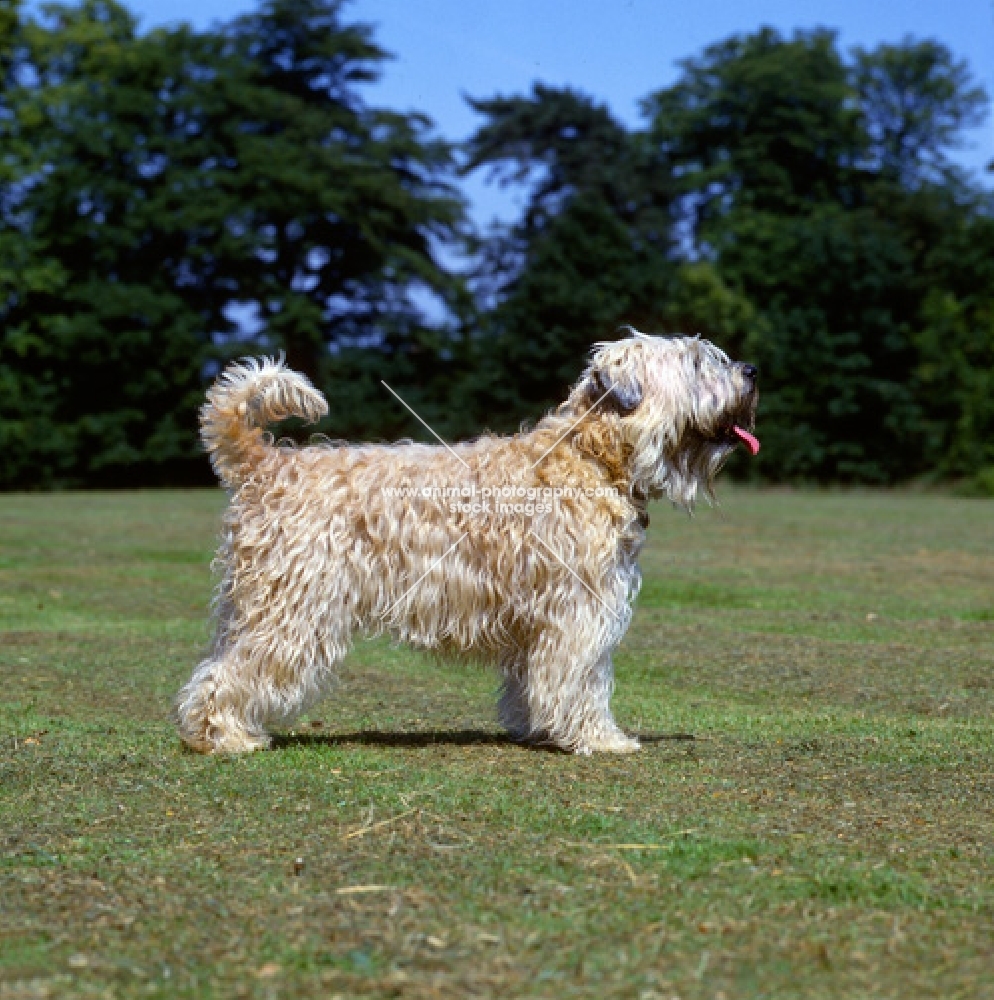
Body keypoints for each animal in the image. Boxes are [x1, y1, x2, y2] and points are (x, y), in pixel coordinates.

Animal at [174, 332, 756, 752]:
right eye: (697, 362)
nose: (751, 371)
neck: (591, 457)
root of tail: (268, 464)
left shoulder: (538, 616)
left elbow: (532, 681)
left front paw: (536, 727)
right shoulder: (581, 608)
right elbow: (583, 678)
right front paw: (601, 738)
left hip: (254, 603)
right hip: (295, 609)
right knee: (232, 672)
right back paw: (224, 736)